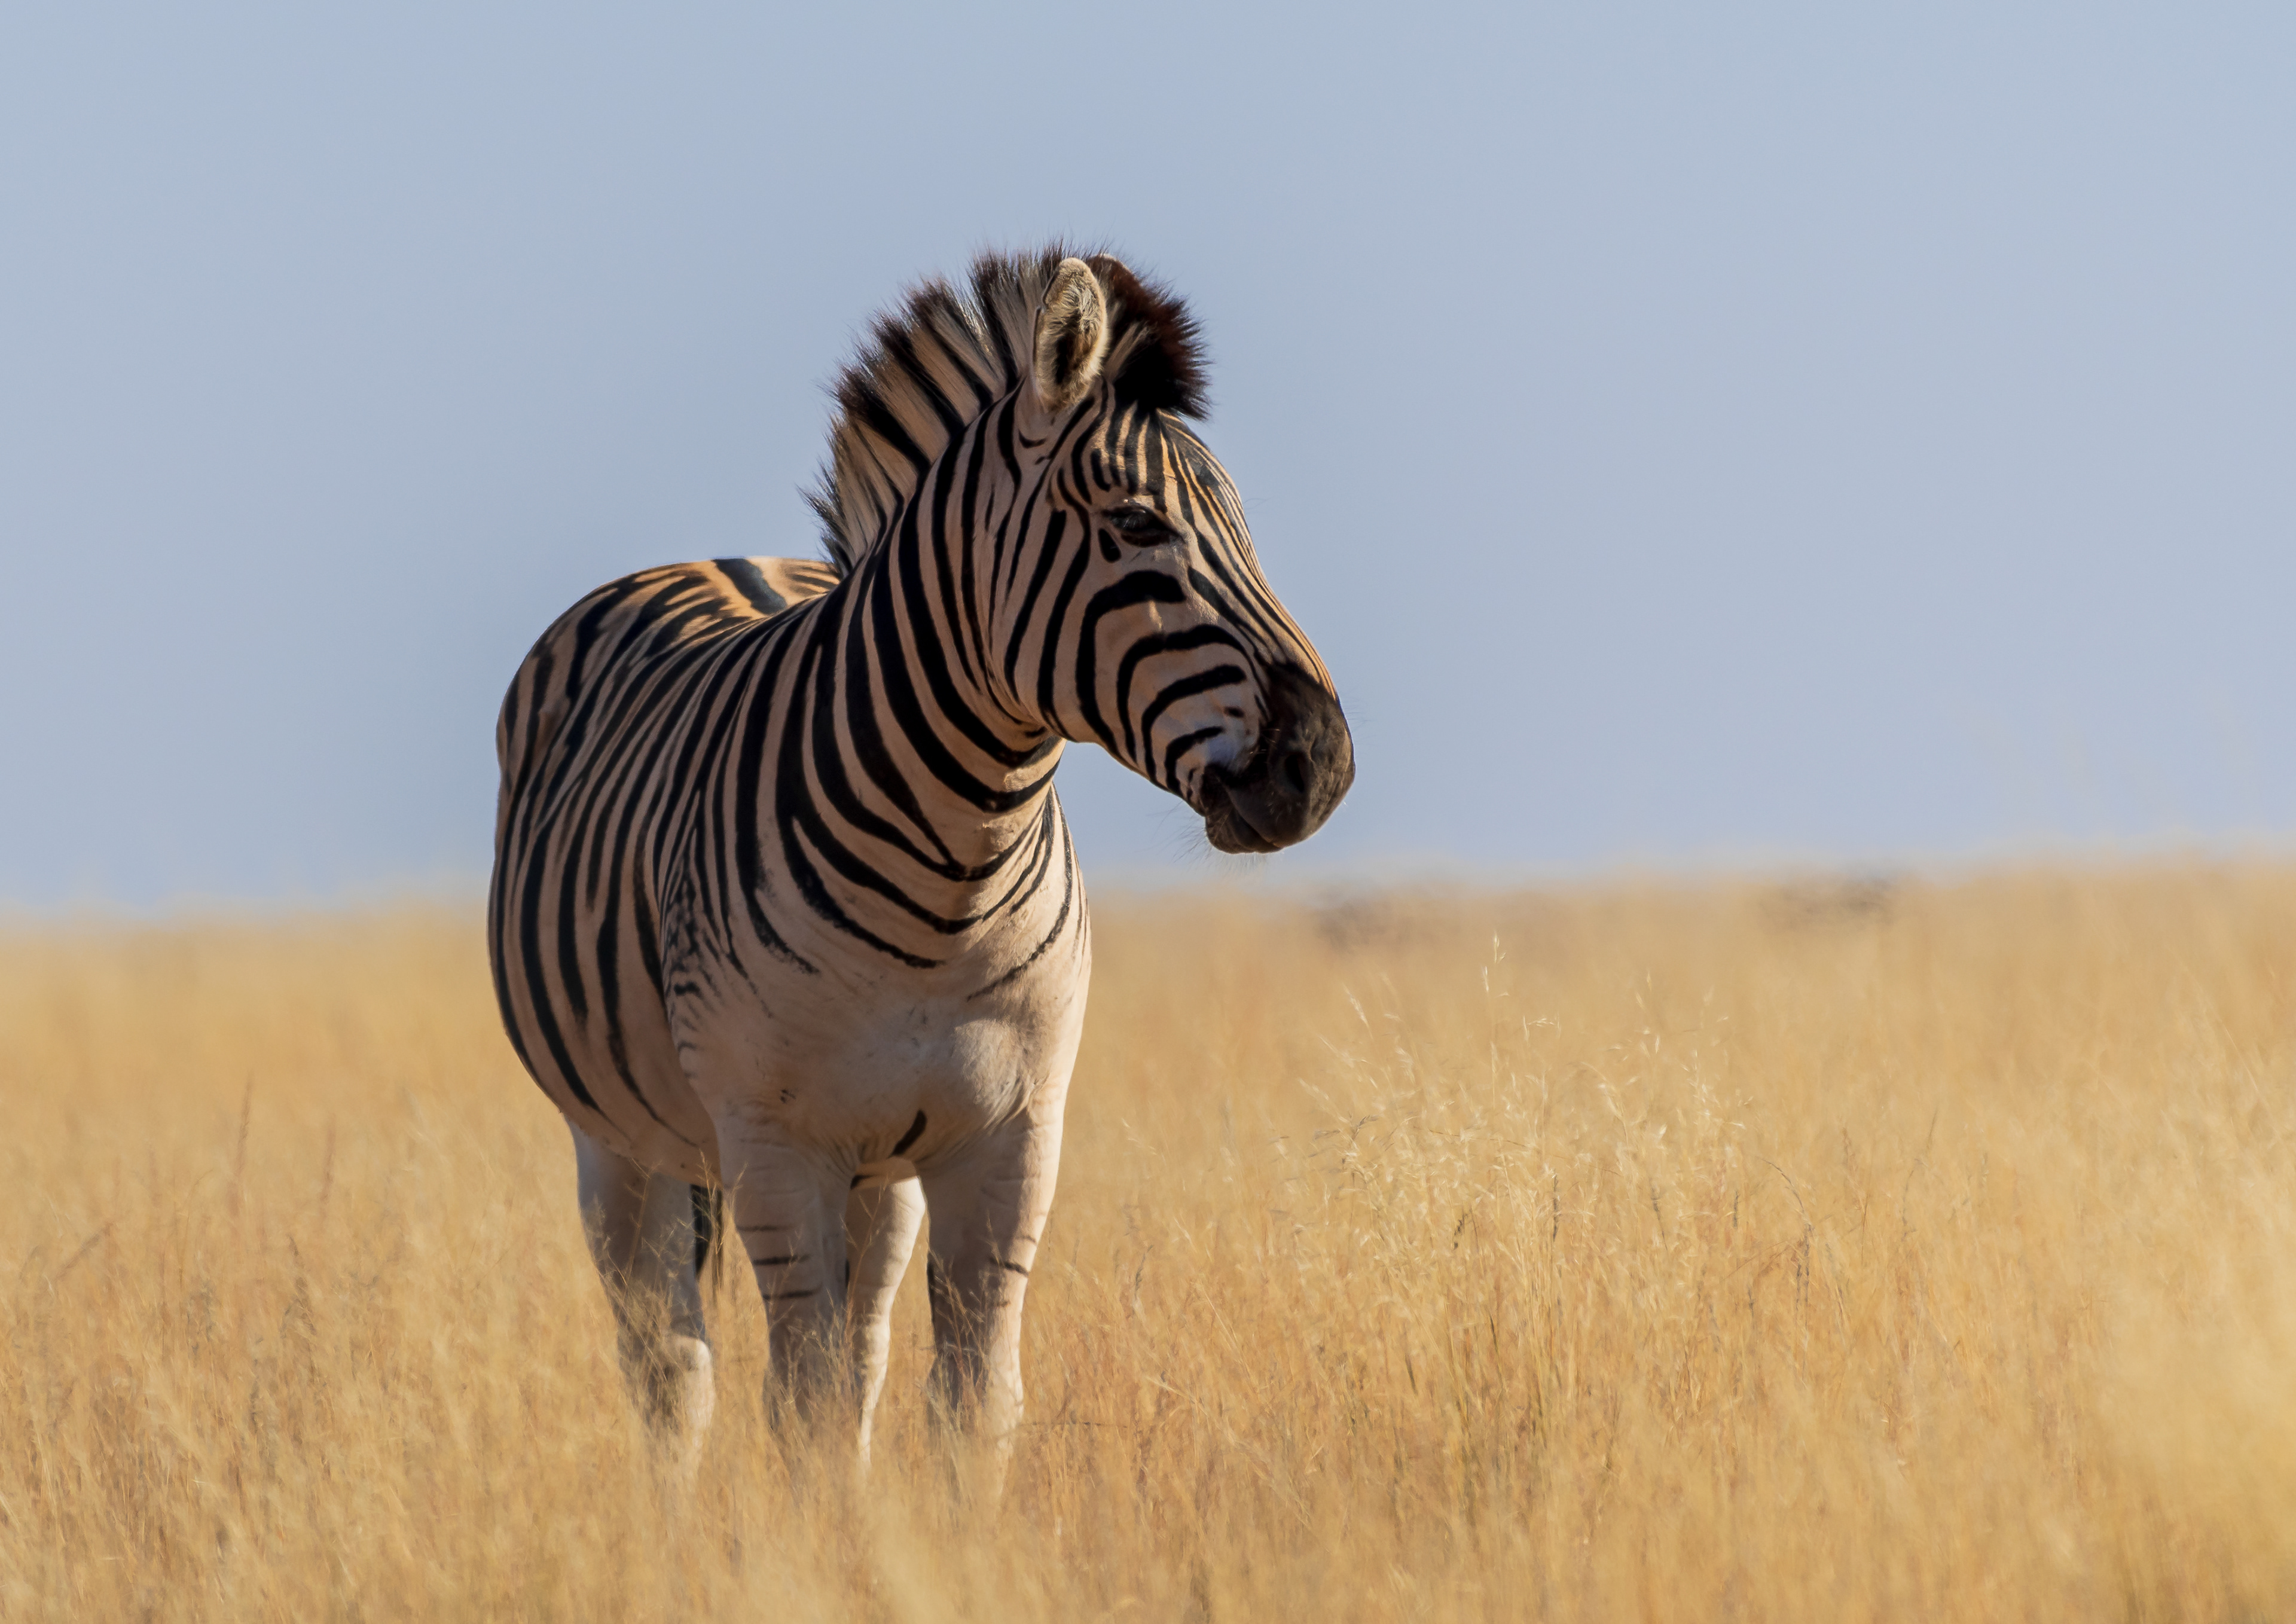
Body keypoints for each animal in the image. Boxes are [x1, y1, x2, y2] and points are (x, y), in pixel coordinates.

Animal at [487, 248, 1353, 1480]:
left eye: (1243, 523)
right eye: (1136, 522)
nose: (1321, 766)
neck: (953, 875)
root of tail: (720, 554)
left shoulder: (1010, 1135)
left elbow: (971, 1400)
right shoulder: (776, 1144)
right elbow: (795, 1410)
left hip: (878, 1173)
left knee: (858, 1355)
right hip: (618, 1144)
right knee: (671, 1372)